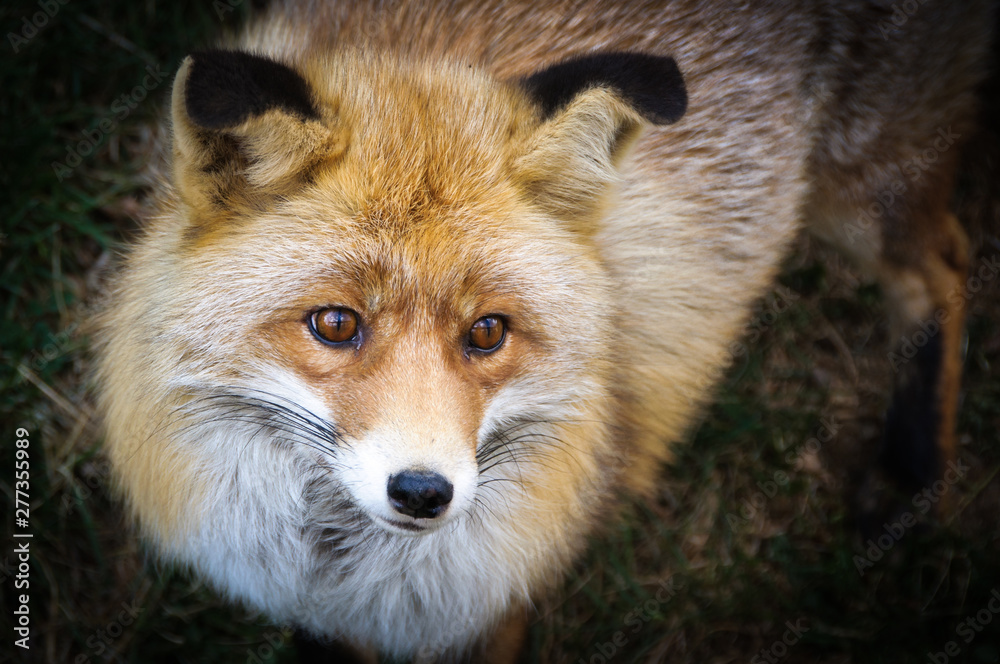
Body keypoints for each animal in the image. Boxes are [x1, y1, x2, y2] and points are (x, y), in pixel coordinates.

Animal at [94, 0, 996, 661]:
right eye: (336, 323)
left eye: (489, 332)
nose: (423, 493)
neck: (345, 571)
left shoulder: (499, 603)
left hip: (863, 193)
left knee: (946, 267)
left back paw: (911, 472)